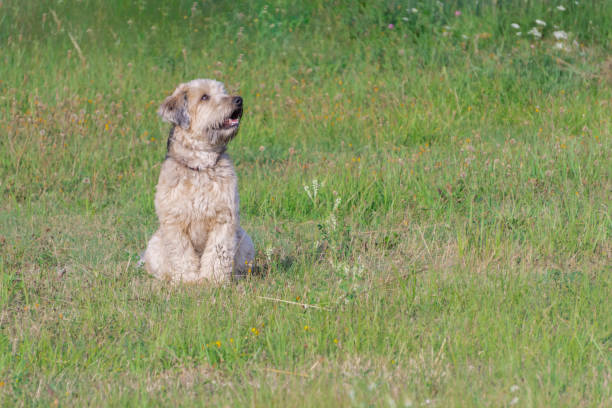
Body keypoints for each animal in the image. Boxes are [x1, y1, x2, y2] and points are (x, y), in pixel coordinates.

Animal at [143, 79, 253, 284]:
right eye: (204, 97)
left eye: (223, 91)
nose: (239, 100)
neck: (201, 165)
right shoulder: (175, 222)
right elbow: (182, 254)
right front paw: (188, 281)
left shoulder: (224, 219)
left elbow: (218, 253)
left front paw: (213, 281)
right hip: (154, 245)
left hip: (246, 240)